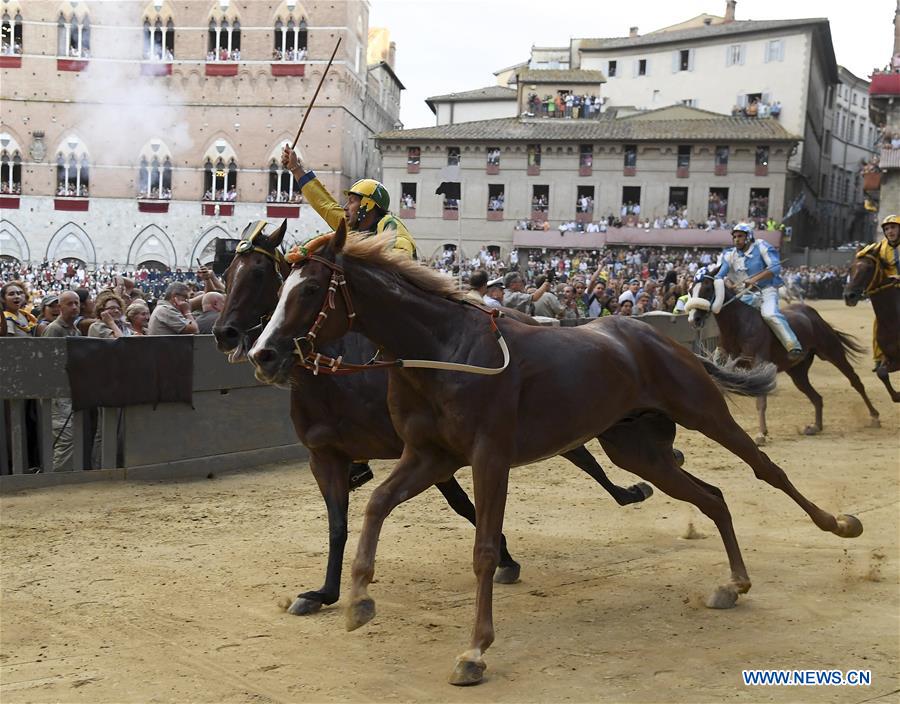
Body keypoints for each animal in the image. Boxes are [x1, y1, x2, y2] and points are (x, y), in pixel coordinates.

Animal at [213, 220, 652, 615]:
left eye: (262, 273)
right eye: (227, 273)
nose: (228, 335)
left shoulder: (435, 454)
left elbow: (465, 507)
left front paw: (505, 556)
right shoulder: (327, 457)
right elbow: (338, 526)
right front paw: (324, 593)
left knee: (586, 457)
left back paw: (632, 490)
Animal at [685, 271, 880, 444]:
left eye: (708, 288)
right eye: (690, 290)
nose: (694, 319)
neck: (738, 326)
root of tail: (811, 313)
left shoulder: (758, 364)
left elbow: (761, 401)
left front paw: (761, 434)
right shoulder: (725, 367)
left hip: (832, 352)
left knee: (855, 381)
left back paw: (874, 417)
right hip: (798, 372)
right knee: (816, 397)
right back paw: (816, 426)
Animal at [843, 250, 900, 402]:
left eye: (869, 269)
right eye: (850, 268)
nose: (849, 295)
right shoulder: (890, 357)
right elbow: (881, 373)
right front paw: (897, 396)